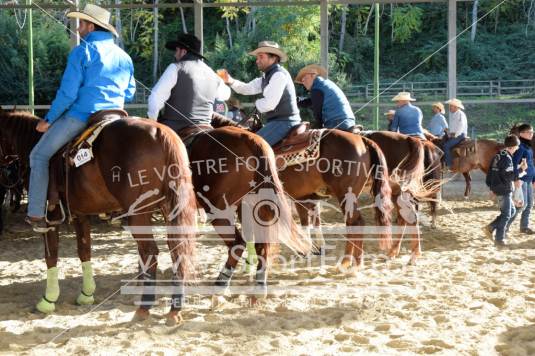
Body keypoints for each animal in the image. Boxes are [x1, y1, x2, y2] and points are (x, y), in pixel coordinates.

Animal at [0, 109, 197, 326]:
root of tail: (161, 133)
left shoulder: (51, 217)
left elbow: (50, 255)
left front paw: (48, 300)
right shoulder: (80, 215)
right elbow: (84, 251)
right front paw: (86, 295)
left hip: (138, 213)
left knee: (149, 253)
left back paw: (144, 308)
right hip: (170, 209)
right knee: (177, 250)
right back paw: (174, 310)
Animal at [213, 116, 394, 270]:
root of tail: (363, 140)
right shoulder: (304, 198)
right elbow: (308, 223)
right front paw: (312, 249)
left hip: (345, 195)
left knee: (355, 222)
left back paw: (348, 262)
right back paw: (355, 261)